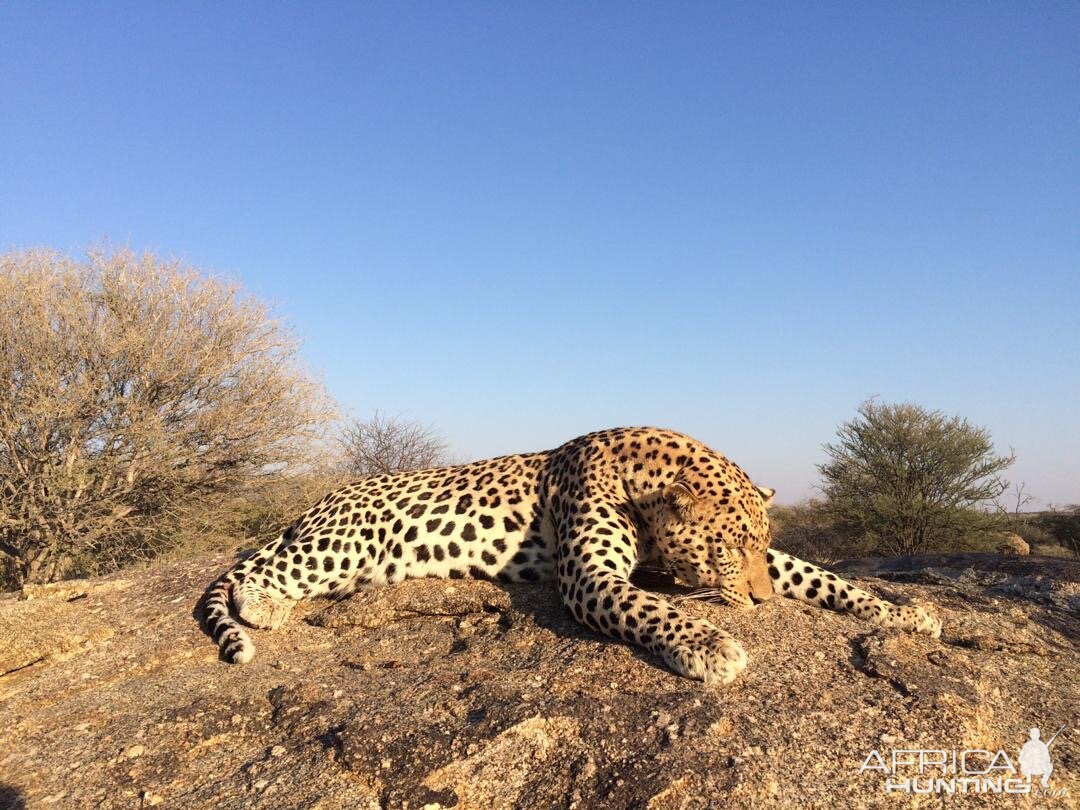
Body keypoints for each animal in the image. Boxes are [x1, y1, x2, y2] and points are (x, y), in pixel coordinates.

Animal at [200, 425, 937, 686]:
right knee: (262, 573)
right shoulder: (590, 577)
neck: (642, 479)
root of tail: (317, 501)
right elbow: (649, 607)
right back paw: (263, 607)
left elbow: (818, 573)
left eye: (756, 547)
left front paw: (905, 611)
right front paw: (711, 646)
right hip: (346, 542)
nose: (759, 602)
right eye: (727, 550)